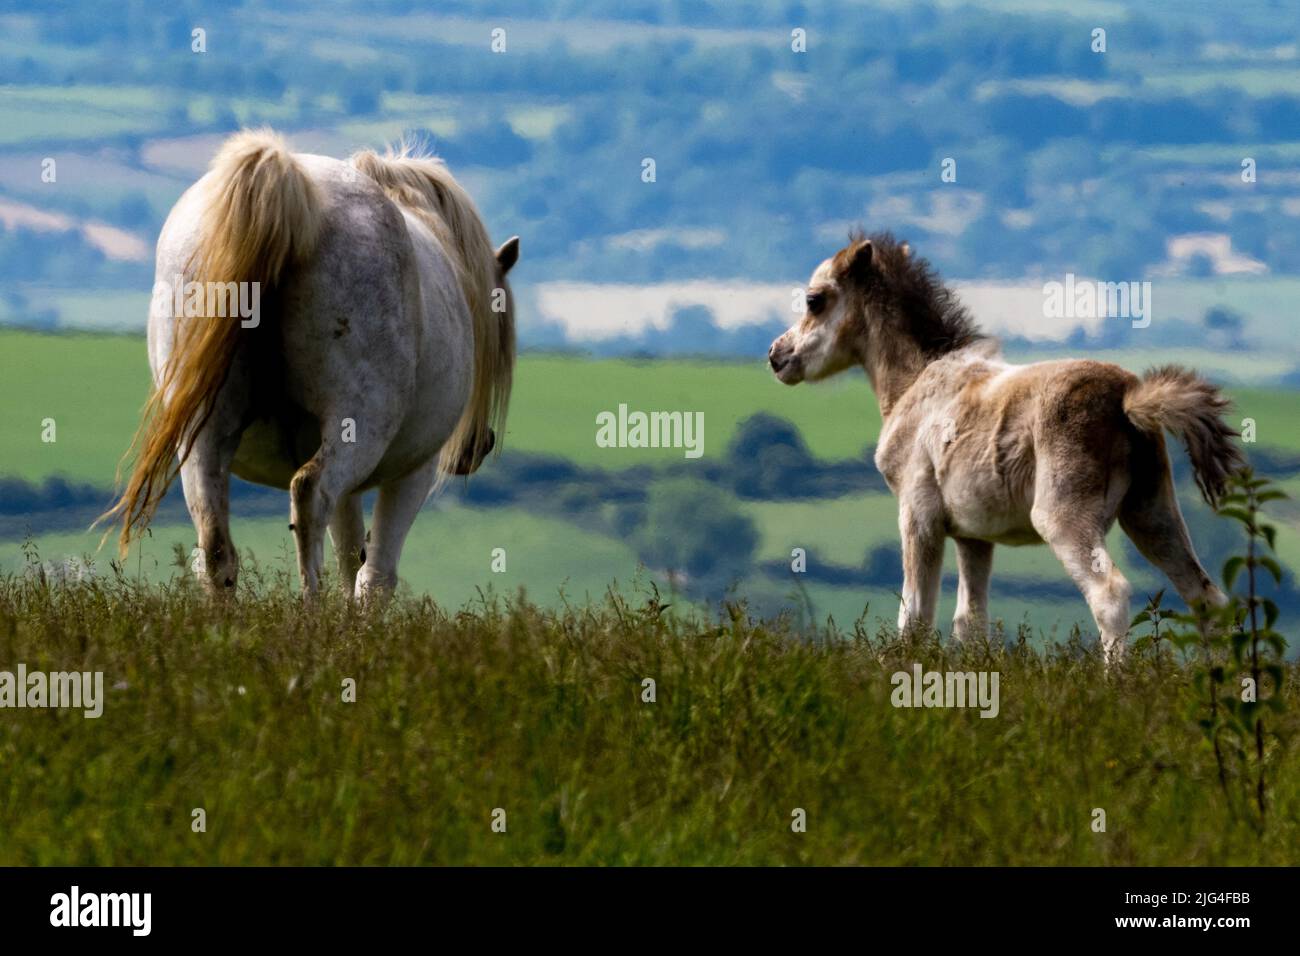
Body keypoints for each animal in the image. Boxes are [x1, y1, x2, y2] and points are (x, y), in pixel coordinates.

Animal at [100, 129, 518, 598]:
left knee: (215, 547)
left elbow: (351, 559)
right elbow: (375, 576)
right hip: (357, 426)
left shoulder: (352, 489)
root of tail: (292, 184)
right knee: (309, 494)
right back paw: (311, 608)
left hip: (203, 436)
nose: (477, 447)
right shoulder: (414, 470)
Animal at [768, 231, 1243, 662]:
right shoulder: (973, 535)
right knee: (1205, 597)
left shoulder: (917, 516)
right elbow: (970, 622)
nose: (776, 355)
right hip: (1151, 510)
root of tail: (1127, 397)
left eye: (814, 300)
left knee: (1111, 594)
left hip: (1062, 515)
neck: (915, 382)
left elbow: (915, 616)